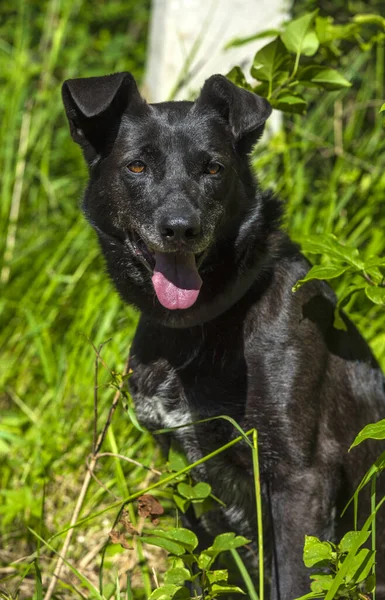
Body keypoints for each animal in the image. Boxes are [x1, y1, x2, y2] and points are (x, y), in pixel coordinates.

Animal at [61, 72, 382, 596]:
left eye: (213, 169)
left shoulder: (301, 477)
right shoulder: (182, 473)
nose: (180, 229)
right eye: (136, 166)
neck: (200, 329)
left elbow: (298, 577)